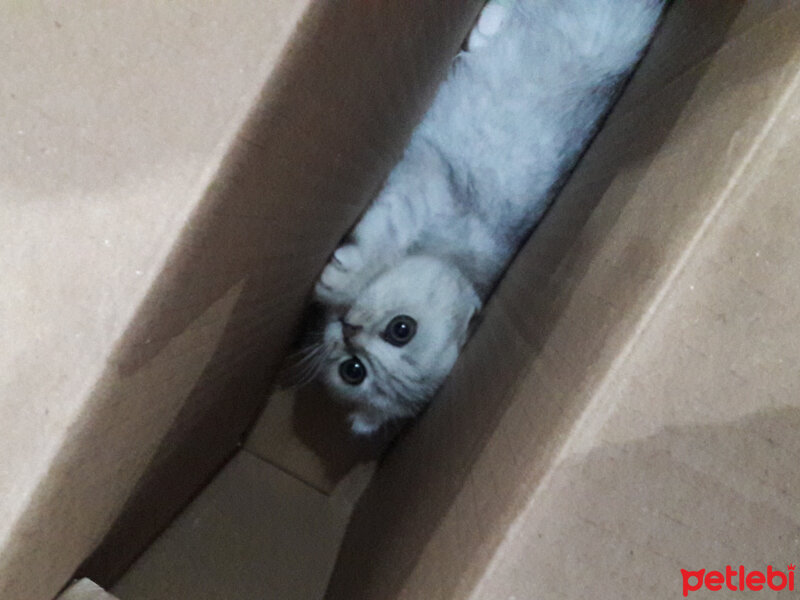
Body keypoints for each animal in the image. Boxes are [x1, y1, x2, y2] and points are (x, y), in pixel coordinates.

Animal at [304, 0, 664, 434]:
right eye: (401, 329)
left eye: (353, 370)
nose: (349, 331)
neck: (454, 260)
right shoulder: (434, 184)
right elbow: (389, 231)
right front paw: (341, 282)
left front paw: (335, 282)